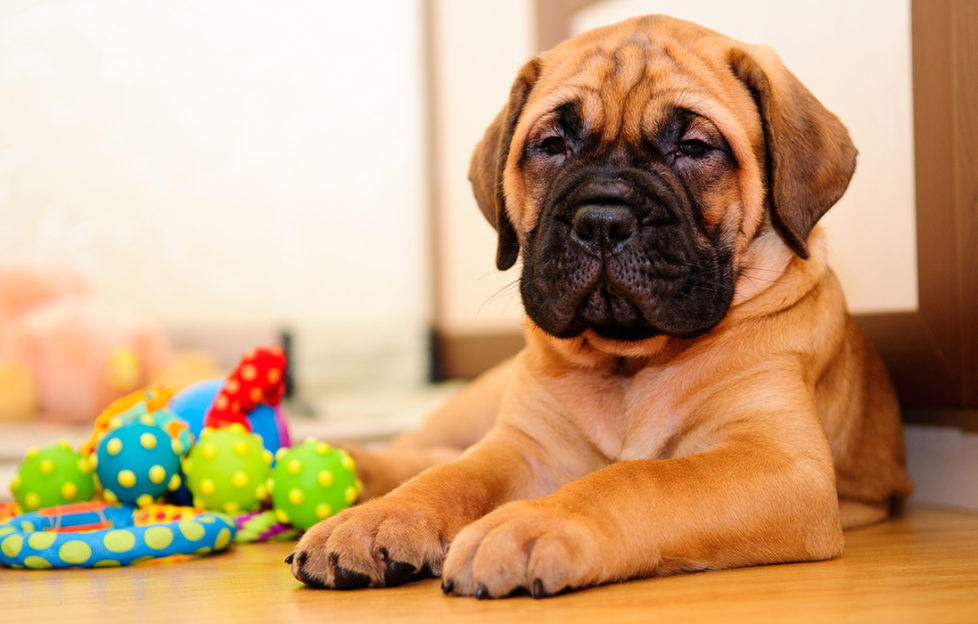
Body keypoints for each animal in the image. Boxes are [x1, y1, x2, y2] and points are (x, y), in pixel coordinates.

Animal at [286, 13, 912, 600]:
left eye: (694, 147)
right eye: (552, 145)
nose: (603, 221)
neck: (630, 364)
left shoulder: (780, 463)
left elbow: (640, 479)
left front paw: (531, 525)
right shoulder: (525, 447)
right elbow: (452, 476)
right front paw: (375, 521)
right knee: (422, 450)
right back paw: (350, 467)